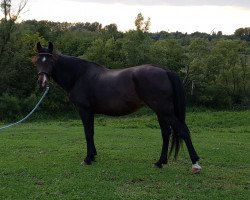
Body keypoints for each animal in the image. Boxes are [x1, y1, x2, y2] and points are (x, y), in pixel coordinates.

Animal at [33, 42, 201, 173]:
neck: (79, 75)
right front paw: (93, 156)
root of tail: (165, 71)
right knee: (166, 134)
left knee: (183, 131)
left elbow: (87, 133)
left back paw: (195, 164)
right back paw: (160, 162)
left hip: (165, 110)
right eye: (37, 62)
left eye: (50, 61)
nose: (42, 82)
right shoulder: (90, 112)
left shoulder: (84, 110)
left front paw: (87, 159)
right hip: (161, 112)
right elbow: (92, 132)